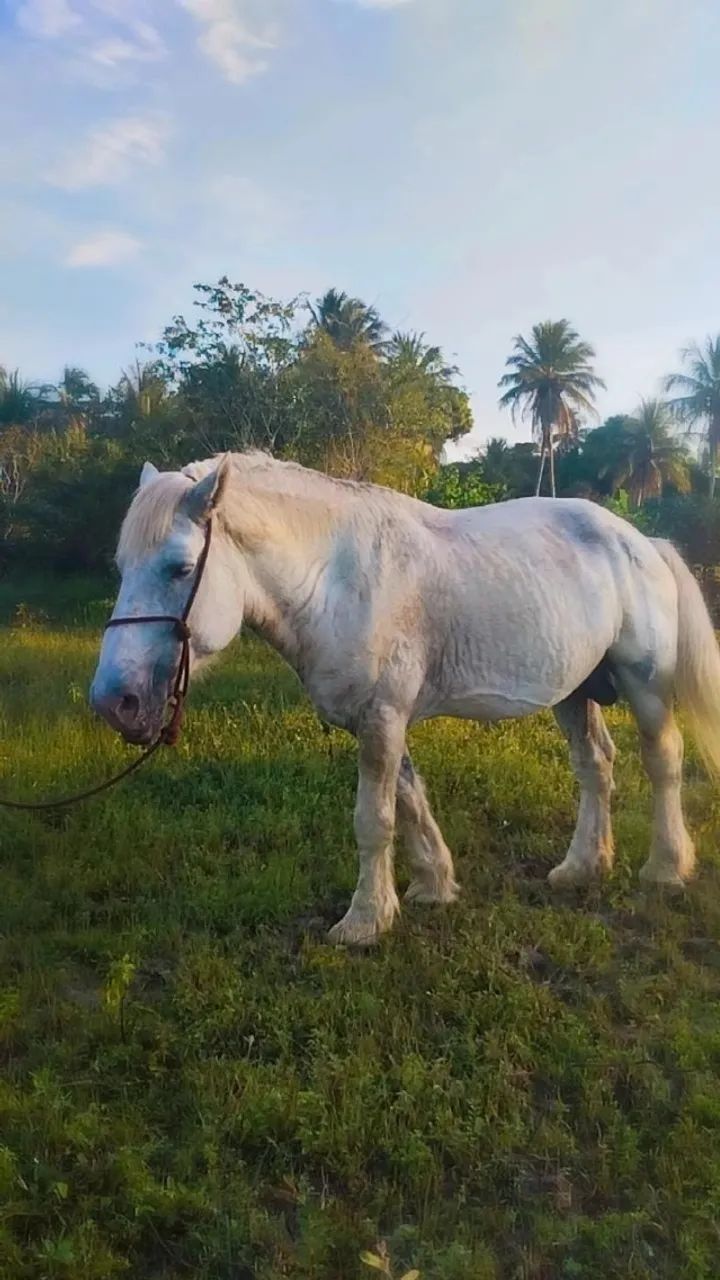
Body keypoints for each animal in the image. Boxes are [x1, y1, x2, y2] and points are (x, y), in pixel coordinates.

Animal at [90, 451, 720, 945]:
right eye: (120, 566)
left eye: (180, 568)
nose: (113, 701)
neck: (338, 580)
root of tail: (640, 542)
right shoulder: (379, 721)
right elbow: (411, 800)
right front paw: (432, 885)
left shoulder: (382, 720)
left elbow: (374, 818)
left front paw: (365, 919)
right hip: (574, 691)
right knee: (595, 767)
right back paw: (583, 866)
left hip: (644, 684)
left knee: (663, 761)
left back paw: (666, 867)